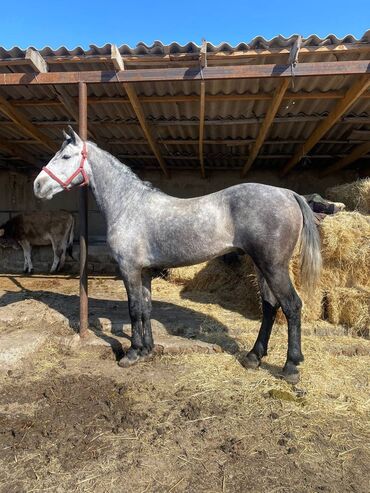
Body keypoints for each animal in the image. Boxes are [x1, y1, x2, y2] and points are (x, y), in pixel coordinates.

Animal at [35, 128, 320, 384]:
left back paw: (290, 367)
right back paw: (253, 357)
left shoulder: (129, 269)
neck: (128, 205)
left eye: (65, 157)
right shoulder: (144, 271)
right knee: (270, 306)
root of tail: (288, 194)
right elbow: (146, 308)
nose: (37, 185)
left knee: (292, 306)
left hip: (273, 266)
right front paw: (147, 349)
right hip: (262, 267)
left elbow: (134, 309)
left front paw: (132, 353)